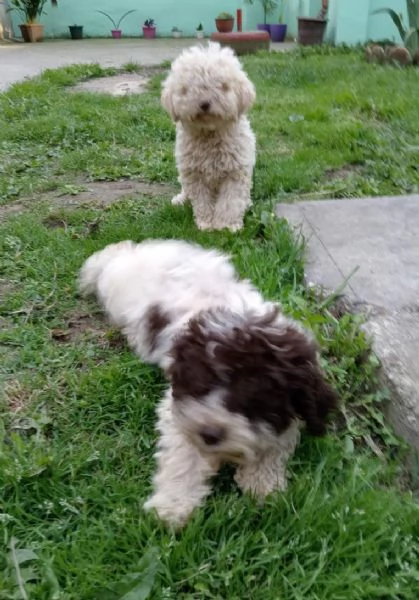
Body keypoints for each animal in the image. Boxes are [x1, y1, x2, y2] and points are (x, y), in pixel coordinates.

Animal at [79, 241, 340, 528]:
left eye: (256, 399)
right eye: (202, 383)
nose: (210, 433)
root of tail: (135, 252)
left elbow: (276, 440)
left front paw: (264, 486)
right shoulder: (180, 409)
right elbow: (185, 455)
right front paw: (172, 506)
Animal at [162, 42, 258, 232]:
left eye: (222, 86)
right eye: (187, 89)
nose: (204, 103)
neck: (210, 133)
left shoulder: (235, 173)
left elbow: (231, 202)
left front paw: (227, 226)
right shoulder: (195, 175)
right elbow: (202, 202)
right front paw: (206, 224)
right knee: (186, 190)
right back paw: (180, 200)